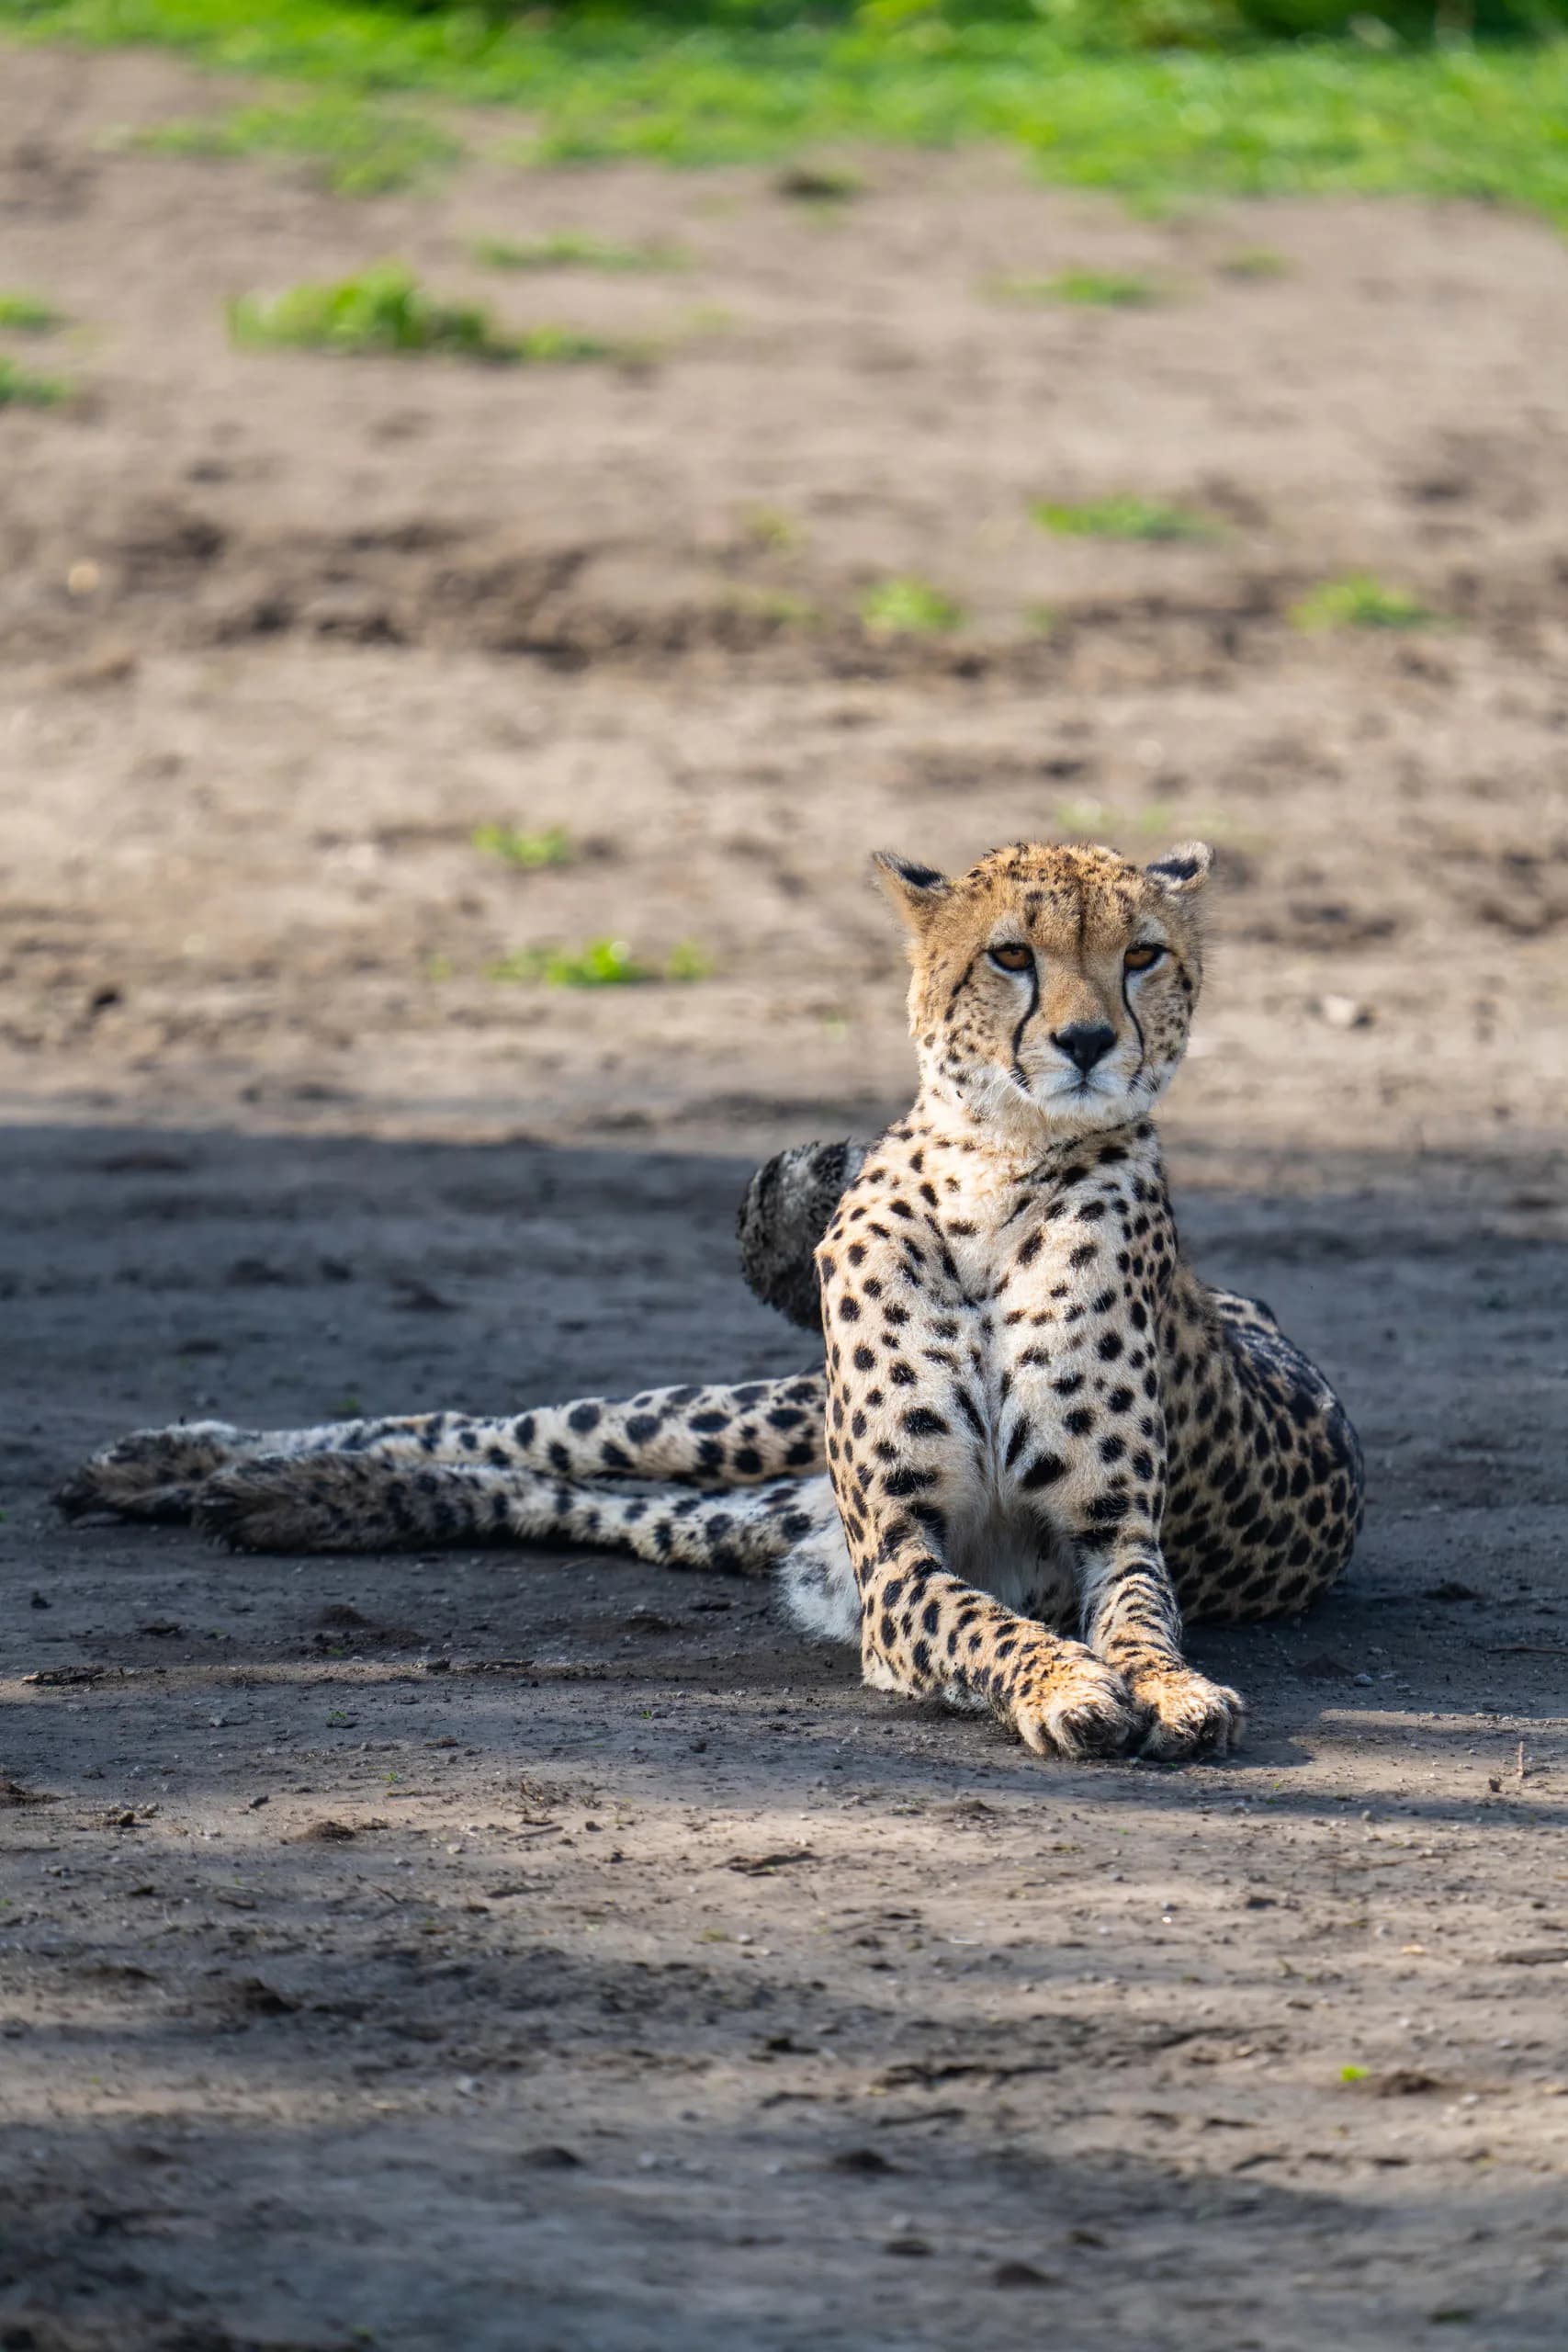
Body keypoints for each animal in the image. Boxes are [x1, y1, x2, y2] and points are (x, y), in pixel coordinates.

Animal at [57, 837, 1364, 1762]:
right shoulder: (897, 1546)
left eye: (1141, 954)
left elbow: (1141, 1621)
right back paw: (191, 1462)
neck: (996, 1170)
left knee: (559, 1494)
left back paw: (298, 1499)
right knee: (496, 1430)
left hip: (762, 1513)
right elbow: (993, 1625)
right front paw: (1068, 1683)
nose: (1089, 1041)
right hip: (743, 1427)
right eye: (1011, 955)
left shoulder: (1110, 1531)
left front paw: (1173, 1688)